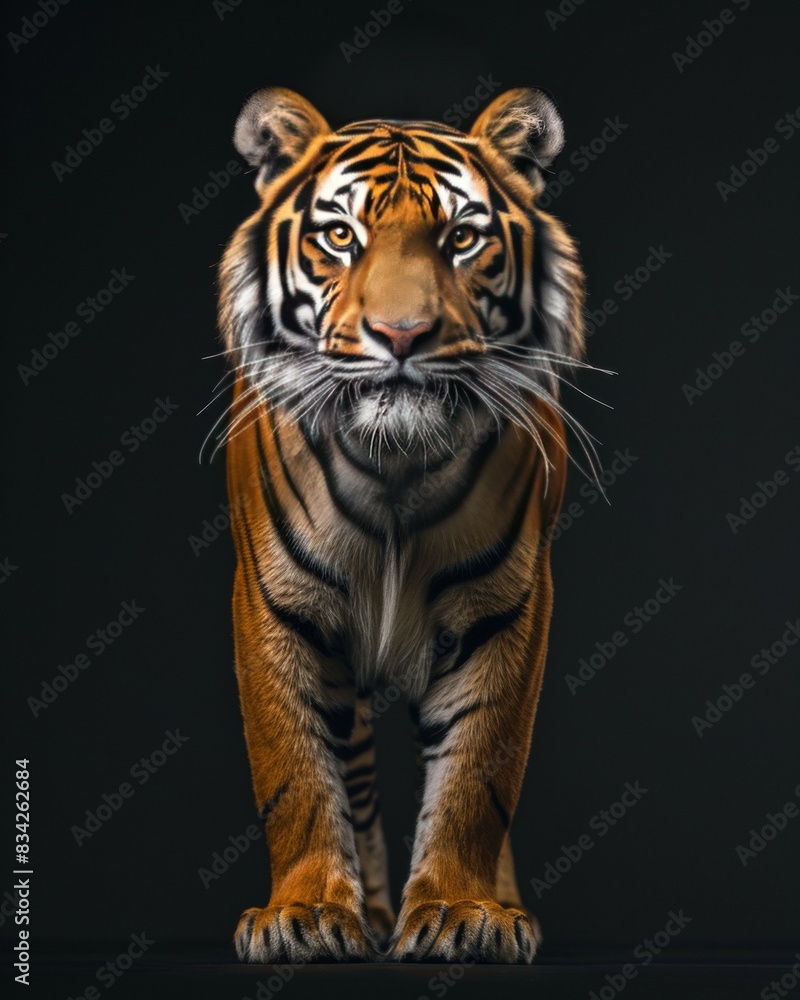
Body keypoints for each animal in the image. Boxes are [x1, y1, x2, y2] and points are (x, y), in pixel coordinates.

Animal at [217, 85, 586, 965]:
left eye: (461, 238)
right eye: (340, 236)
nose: (402, 335)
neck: (393, 466)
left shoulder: (509, 609)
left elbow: (478, 774)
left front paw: (460, 911)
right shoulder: (271, 604)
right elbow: (293, 769)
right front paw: (305, 915)